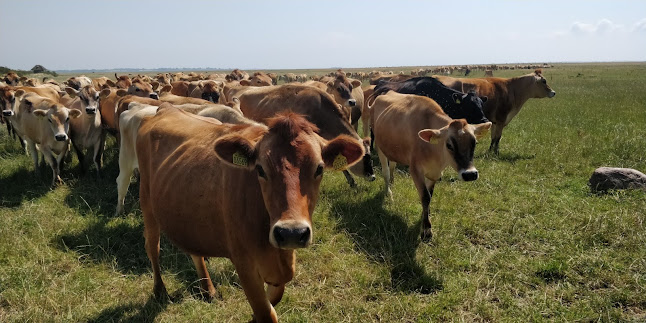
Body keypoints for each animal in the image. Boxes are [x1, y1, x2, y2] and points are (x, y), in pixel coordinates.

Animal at [136, 107, 364, 322]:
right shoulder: (244, 264)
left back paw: (207, 288)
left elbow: (274, 299)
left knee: (194, 250)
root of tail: (166, 108)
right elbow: (266, 313)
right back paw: (160, 290)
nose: (291, 232)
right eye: (260, 169)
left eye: (319, 168)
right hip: (147, 202)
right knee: (152, 247)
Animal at [370, 92, 492, 242]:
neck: (434, 153)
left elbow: (429, 196)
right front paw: (427, 230)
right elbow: (425, 196)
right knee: (386, 172)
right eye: (449, 145)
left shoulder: (435, 173)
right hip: (379, 145)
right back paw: (389, 192)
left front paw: (424, 217)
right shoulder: (415, 169)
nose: (470, 174)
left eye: (474, 143)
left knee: (392, 165)